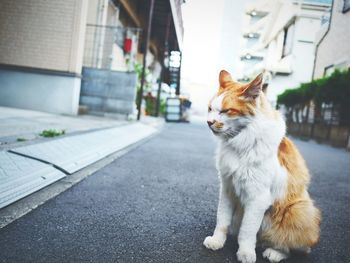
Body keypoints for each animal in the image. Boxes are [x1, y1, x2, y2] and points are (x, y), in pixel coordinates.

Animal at [204, 70, 322, 263]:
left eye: (227, 111)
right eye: (210, 109)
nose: (209, 122)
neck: (241, 143)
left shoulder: (257, 197)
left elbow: (247, 230)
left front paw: (245, 253)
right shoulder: (228, 188)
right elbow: (222, 220)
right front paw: (217, 241)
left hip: (299, 210)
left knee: (287, 244)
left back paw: (274, 252)